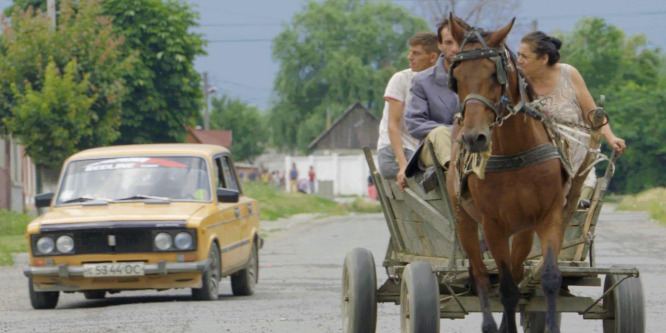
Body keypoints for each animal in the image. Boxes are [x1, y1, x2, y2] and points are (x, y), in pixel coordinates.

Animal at [444, 15, 564, 332]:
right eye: (456, 77)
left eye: (493, 73)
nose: (474, 137)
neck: (515, 151)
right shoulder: (493, 225)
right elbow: (506, 288)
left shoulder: (548, 216)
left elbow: (549, 277)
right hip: (465, 222)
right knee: (481, 275)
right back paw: (489, 323)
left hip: (522, 231)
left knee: (518, 268)